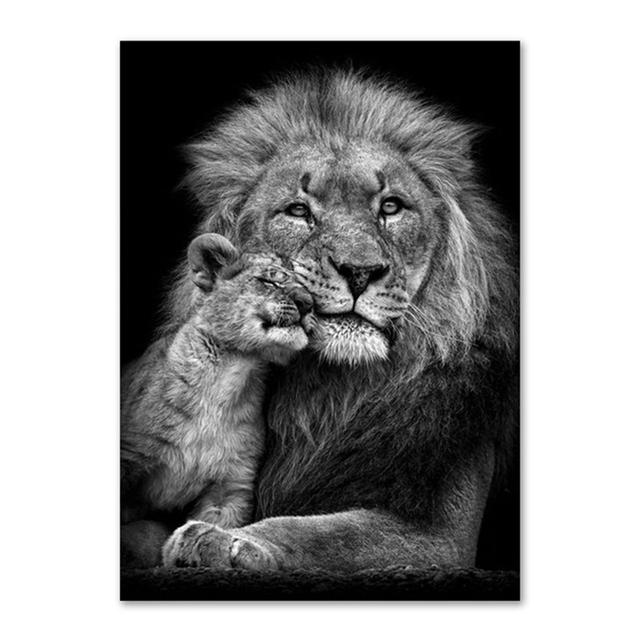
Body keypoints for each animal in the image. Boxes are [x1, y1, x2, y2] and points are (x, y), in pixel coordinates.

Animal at [130, 69, 518, 572]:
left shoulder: (444, 538)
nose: (359, 271)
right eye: (298, 210)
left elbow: (321, 532)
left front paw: (223, 540)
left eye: (391, 207)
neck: (329, 394)